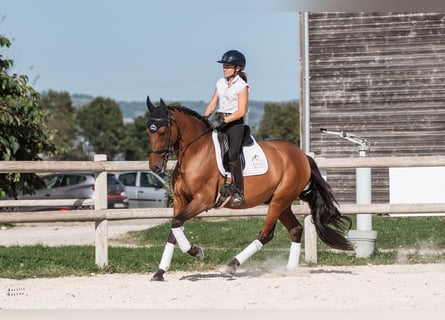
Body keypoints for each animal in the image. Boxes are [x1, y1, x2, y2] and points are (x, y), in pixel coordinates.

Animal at [147, 96, 352, 282]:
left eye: (162, 131)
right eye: (149, 131)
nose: (154, 167)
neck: (196, 153)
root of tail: (302, 156)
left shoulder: (202, 201)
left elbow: (176, 223)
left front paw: (196, 252)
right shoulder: (180, 200)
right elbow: (174, 228)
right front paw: (160, 272)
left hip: (279, 201)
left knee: (266, 234)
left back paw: (231, 266)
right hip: (282, 202)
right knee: (295, 230)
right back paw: (289, 271)